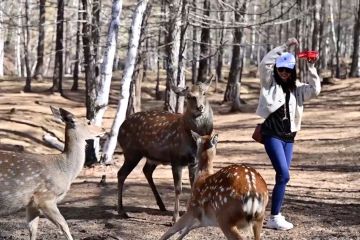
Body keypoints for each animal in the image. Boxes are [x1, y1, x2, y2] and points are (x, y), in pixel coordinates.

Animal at [0, 107, 105, 240]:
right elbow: (64, 225)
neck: (66, 171)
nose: (103, 130)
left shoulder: (31, 204)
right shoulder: (45, 197)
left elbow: (32, 229)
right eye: (88, 122)